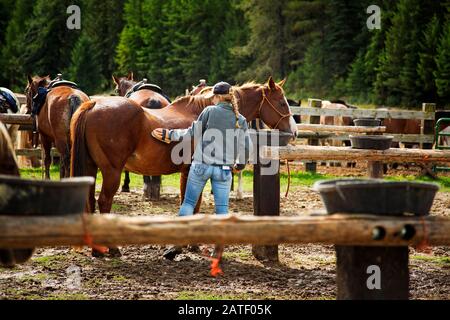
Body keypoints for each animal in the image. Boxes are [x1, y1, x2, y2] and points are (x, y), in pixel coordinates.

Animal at [71, 76, 298, 256]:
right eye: (281, 102)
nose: (294, 132)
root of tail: (93, 105)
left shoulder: (186, 173)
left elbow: (189, 205)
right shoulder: (192, 172)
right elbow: (193, 205)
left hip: (91, 169)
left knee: (90, 201)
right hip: (111, 171)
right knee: (104, 202)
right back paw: (111, 248)